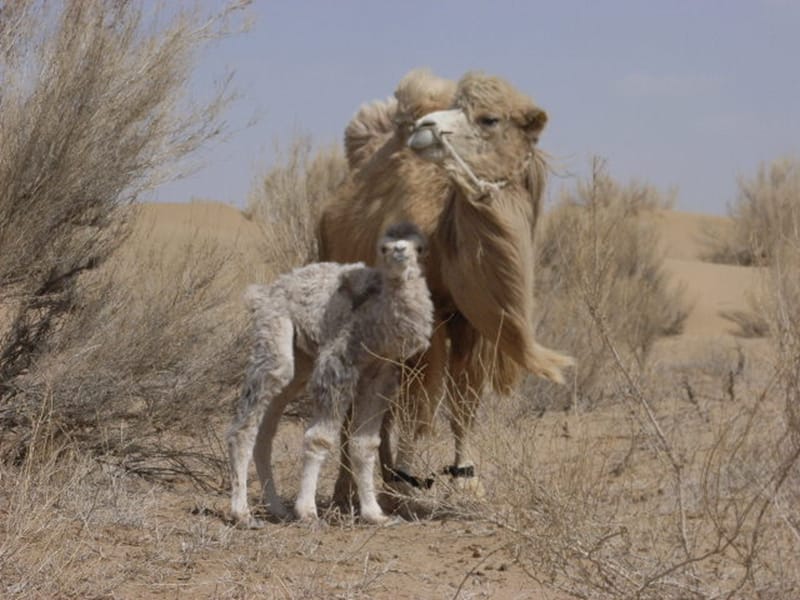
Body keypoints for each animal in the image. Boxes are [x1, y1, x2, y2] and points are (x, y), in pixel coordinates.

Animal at [228, 223, 434, 528]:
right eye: (383, 247)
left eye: (418, 247)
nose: (399, 252)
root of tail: (263, 294)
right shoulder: (338, 365)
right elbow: (320, 438)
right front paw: (308, 512)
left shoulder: (381, 374)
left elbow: (365, 444)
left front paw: (375, 514)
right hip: (276, 332)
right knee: (244, 427)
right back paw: (242, 513)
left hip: (300, 364)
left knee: (266, 431)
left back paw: (277, 508)